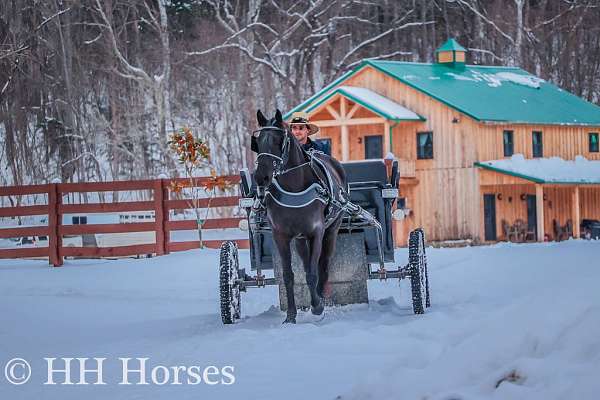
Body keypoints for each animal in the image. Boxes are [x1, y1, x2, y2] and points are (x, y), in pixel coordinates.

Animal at [253, 108, 346, 322]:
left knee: (323, 263)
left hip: (332, 230)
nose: (260, 177)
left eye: (278, 140)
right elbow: (289, 275)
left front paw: (317, 306)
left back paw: (321, 294)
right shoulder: (281, 235)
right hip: (300, 239)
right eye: (258, 141)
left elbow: (313, 272)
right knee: (306, 262)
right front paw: (291, 315)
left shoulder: (316, 232)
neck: (293, 187)